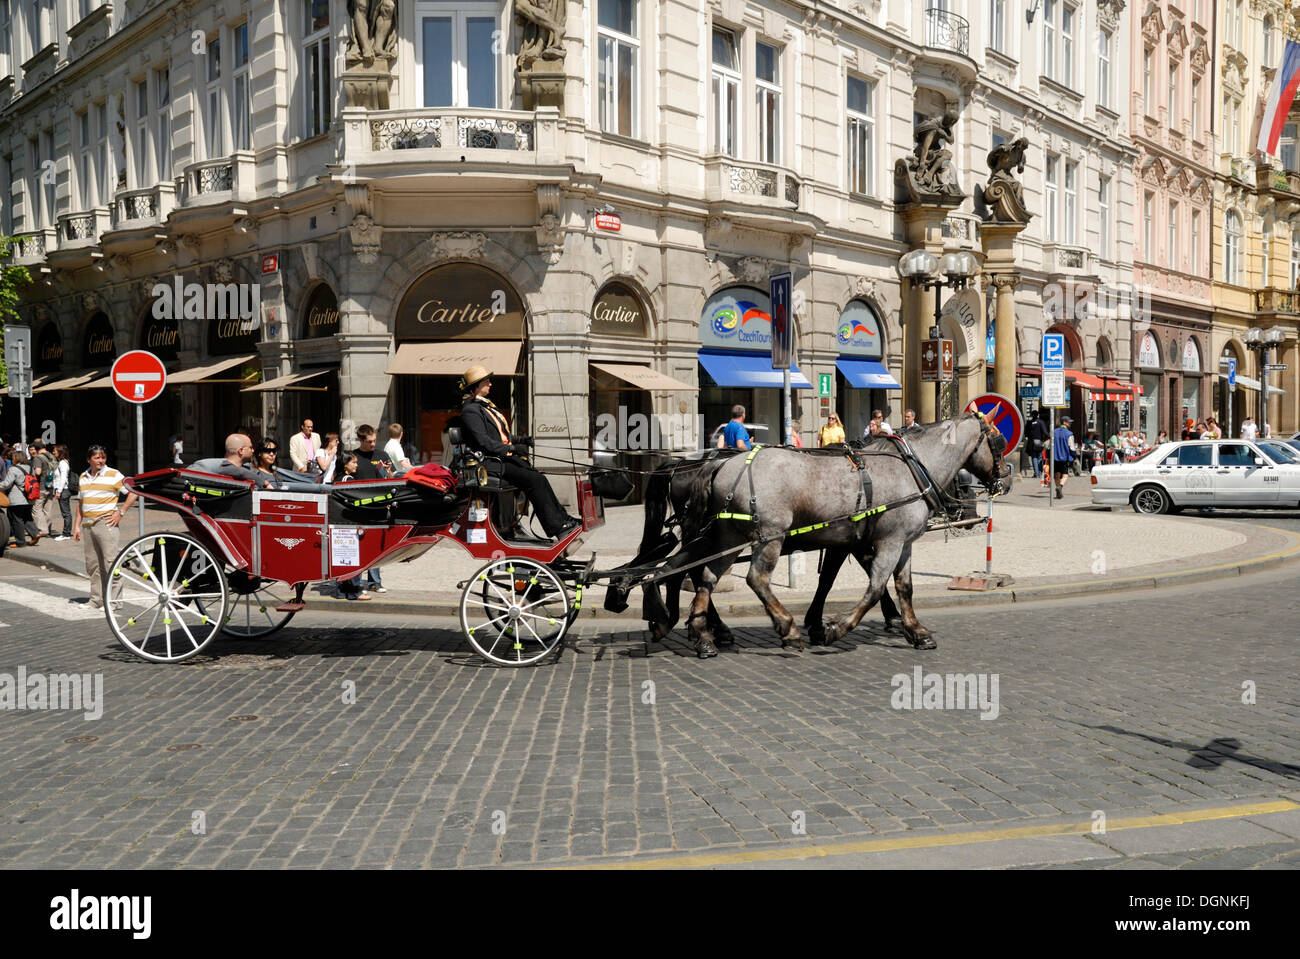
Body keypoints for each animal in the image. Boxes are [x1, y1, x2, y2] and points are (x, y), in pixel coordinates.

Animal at [613, 413, 1008, 657]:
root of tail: (717, 464)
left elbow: (902, 587)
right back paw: (781, 628)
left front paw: (915, 630)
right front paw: (835, 627)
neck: (910, 468)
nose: (1004, 480)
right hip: (766, 536)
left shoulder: (897, 542)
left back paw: (699, 632)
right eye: (1000, 442)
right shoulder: (887, 542)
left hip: (727, 536)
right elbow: (873, 586)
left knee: (697, 573)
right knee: (750, 578)